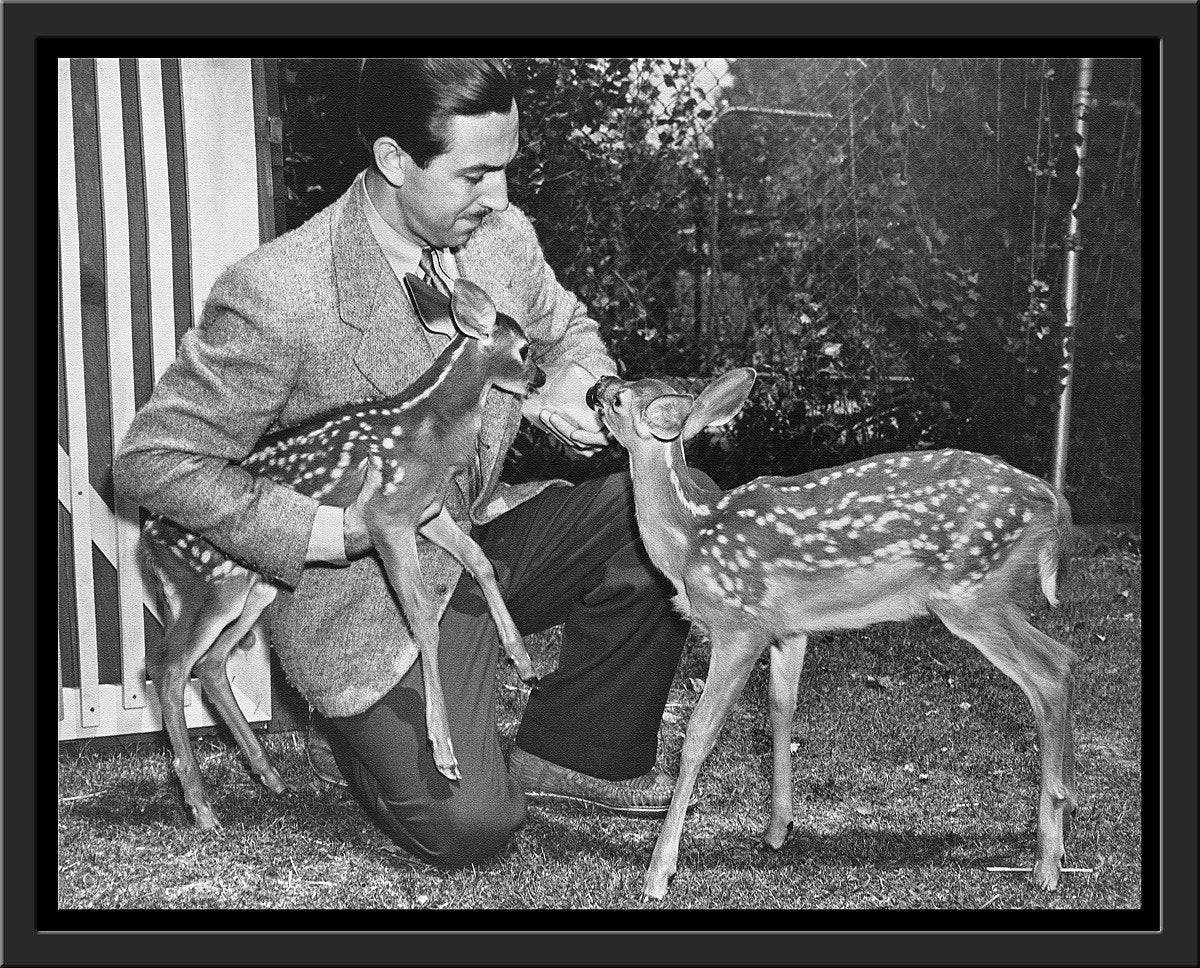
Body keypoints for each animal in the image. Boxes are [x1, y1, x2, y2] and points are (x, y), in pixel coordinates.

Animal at [140, 275, 542, 831]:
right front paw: (443, 752)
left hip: (255, 588)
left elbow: (479, 561)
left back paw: (269, 775)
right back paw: (202, 806)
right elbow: (422, 618)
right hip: (207, 586)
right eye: (524, 350)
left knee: (213, 663)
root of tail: (148, 540)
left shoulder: (427, 511)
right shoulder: (386, 515)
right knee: (167, 665)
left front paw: (523, 661)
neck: (430, 425)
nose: (541, 378)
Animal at [585, 367, 1079, 900]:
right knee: (1065, 658)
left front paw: (658, 873)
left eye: (618, 398)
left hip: (969, 593)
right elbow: (780, 709)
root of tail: (1051, 501)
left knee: (1048, 675)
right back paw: (1067, 820)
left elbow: (699, 733)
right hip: (990, 595)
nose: (596, 386)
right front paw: (778, 829)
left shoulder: (740, 625)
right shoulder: (789, 629)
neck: (689, 540)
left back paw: (1047, 862)